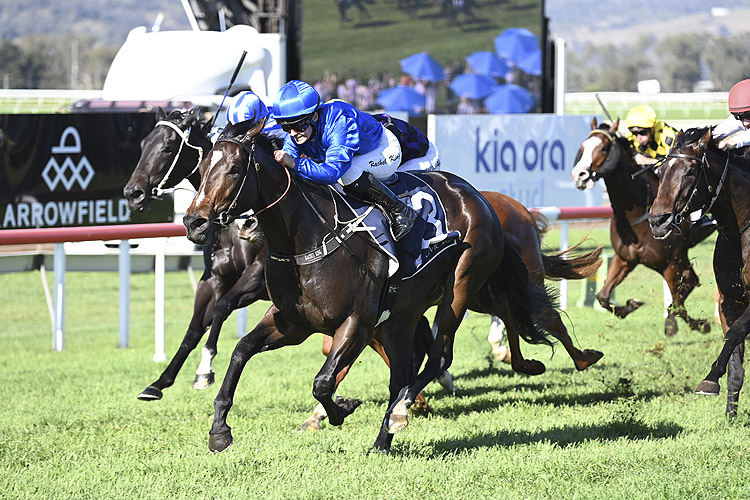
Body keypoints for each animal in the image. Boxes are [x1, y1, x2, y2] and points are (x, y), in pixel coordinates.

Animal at [183, 121, 560, 454]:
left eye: (234, 169)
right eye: (202, 167)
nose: (194, 222)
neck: (309, 237)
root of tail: (480, 197)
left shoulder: (357, 323)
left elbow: (322, 382)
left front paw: (342, 408)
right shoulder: (292, 323)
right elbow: (241, 351)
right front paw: (219, 430)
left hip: (461, 287)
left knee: (437, 357)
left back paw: (399, 412)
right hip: (403, 316)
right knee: (404, 371)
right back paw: (383, 440)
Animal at [572, 118, 712, 336]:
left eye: (603, 148)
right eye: (583, 146)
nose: (578, 174)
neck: (637, 216)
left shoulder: (671, 262)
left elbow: (681, 298)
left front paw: (697, 324)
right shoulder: (624, 259)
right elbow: (603, 297)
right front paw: (631, 304)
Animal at [648, 127, 748, 416]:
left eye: (691, 172)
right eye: (660, 171)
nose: (657, 220)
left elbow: (736, 332)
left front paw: (710, 379)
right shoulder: (729, 300)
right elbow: (734, 354)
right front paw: (729, 413)